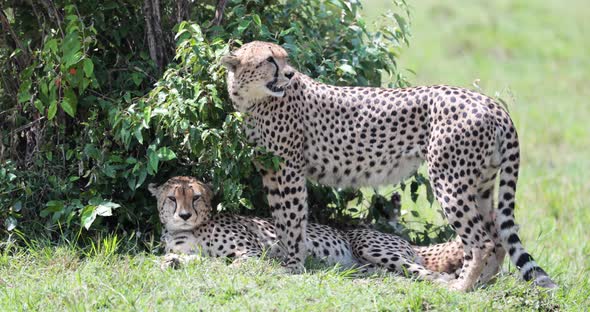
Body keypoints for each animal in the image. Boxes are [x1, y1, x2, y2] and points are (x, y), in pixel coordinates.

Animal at [222, 40, 560, 292]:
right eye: (270, 60)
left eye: (285, 59)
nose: (291, 74)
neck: (254, 99)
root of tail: (490, 103)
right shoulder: (269, 168)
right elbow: (280, 216)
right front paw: (284, 257)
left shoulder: (290, 167)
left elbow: (292, 218)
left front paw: (292, 265)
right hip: (481, 182)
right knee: (497, 237)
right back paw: (479, 285)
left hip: (449, 180)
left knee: (482, 240)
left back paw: (460, 288)